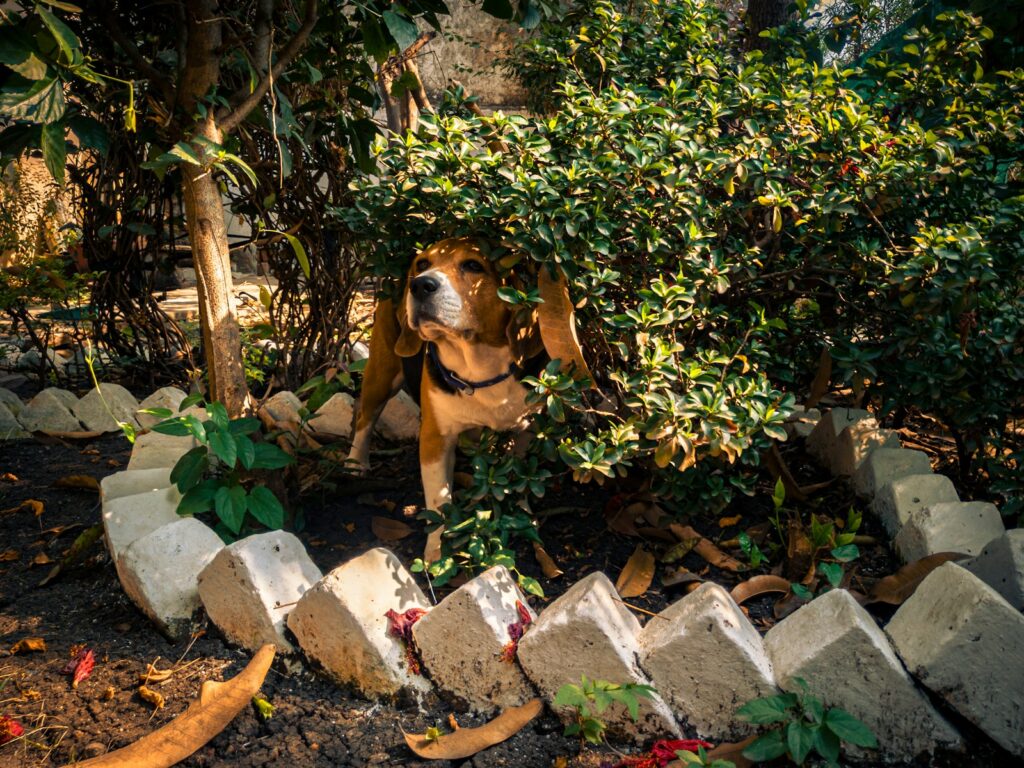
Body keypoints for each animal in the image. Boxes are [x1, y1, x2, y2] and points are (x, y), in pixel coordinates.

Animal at [348, 237, 548, 561]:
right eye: (422, 264)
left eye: (473, 265)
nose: (419, 284)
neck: (478, 372)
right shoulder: (435, 439)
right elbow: (439, 502)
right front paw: (437, 552)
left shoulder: (529, 429)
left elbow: (522, 478)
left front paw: (522, 514)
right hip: (382, 373)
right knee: (365, 417)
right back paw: (355, 463)